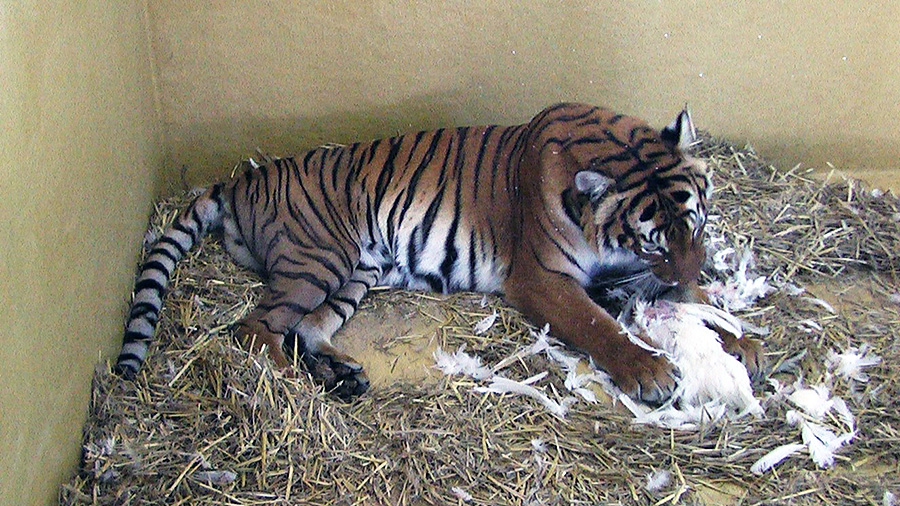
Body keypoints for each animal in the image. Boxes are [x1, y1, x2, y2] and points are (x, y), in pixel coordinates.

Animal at [114, 102, 762, 402]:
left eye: (697, 223)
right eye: (654, 240)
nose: (700, 262)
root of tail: (241, 179)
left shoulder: (631, 273)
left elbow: (688, 301)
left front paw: (738, 341)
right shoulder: (544, 278)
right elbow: (596, 325)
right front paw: (650, 369)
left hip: (357, 272)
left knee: (306, 328)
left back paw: (340, 375)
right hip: (319, 260)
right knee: (255, 330)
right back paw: (302, 386)